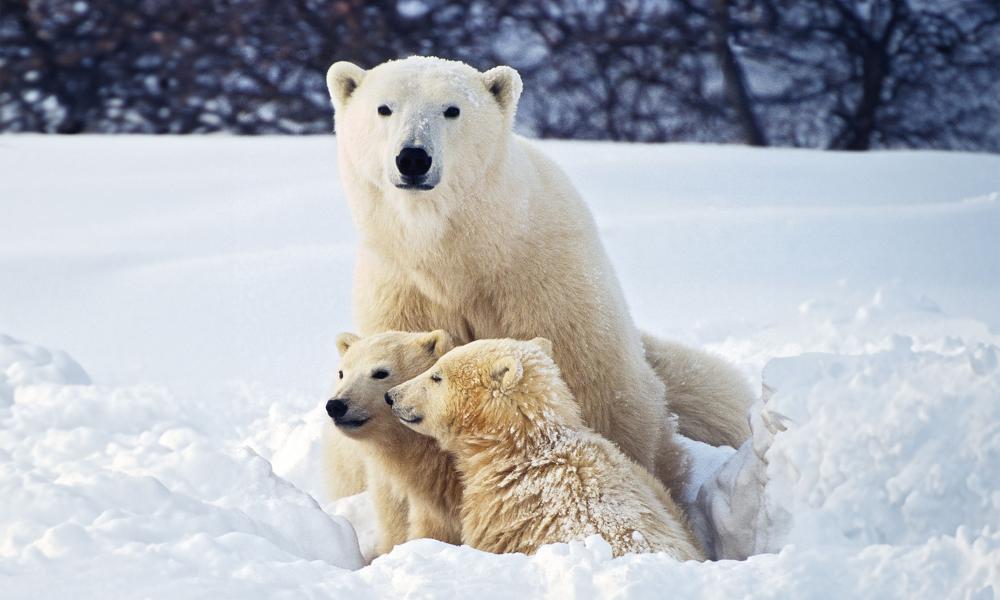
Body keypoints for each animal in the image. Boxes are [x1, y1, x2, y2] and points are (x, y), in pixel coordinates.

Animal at [324, 54, 748, 490]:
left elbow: (598, 388)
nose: (412, 158)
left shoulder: (542, 280)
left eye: (451, 110)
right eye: (384, 108)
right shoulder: (402, 291)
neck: (459, 253)